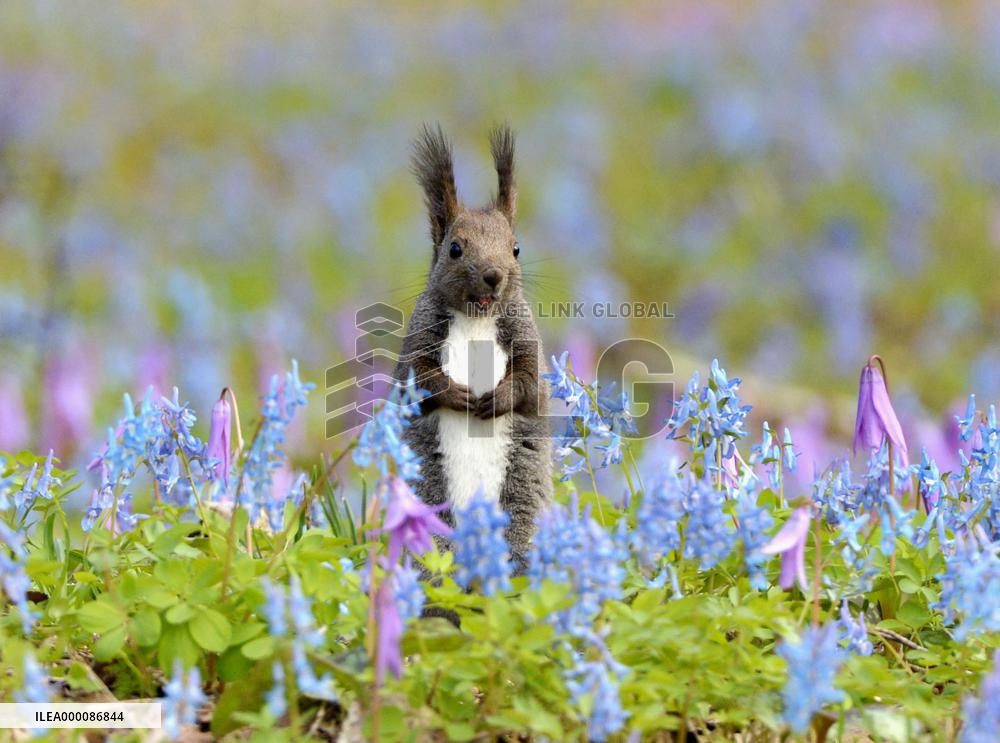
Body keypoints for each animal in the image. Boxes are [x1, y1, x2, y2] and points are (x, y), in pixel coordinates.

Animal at [393, 124, 552, 573]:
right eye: (455, 248)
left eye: (516, 248)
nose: (494, 275)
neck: (477, 317)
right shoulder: (418, 340)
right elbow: (418, 379)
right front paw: (456, 394)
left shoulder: (525, 337)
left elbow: (529, 383)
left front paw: (497, 398)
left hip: (518, 510)